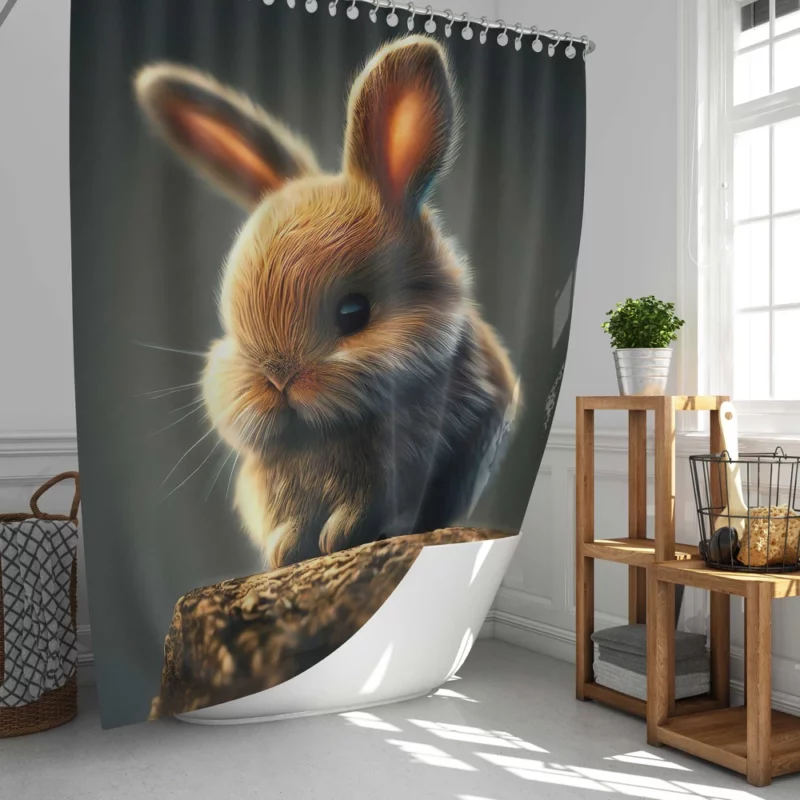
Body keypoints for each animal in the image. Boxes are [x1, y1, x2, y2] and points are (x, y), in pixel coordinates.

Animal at [134, 34, 520, 564]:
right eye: (233, 328)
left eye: (353, 313)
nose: (277, 379)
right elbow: (290, 520)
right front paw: (285, 550)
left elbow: (362, 510)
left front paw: (338, 537)